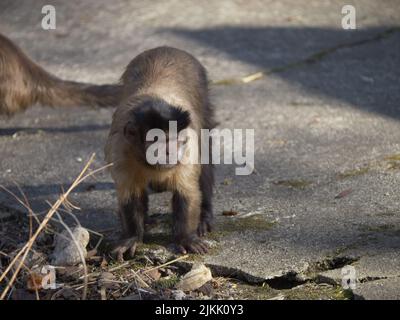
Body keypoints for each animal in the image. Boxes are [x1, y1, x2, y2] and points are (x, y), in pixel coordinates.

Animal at [104, 46, 216, 260]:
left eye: (176, 142)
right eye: (158, 142)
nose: (170, 153)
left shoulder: (187, 147)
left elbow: (186, 192)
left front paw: (186, 238)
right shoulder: (120, 150)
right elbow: (130, 195)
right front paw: (132, 238)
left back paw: (205, 215)